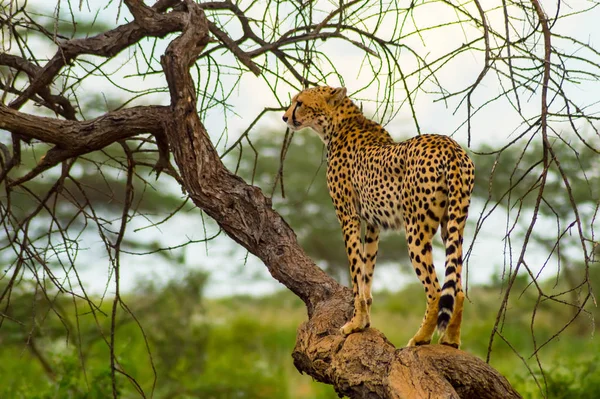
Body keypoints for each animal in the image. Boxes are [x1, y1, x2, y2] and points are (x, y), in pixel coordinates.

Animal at [284, 86, 476, 348]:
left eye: (300, 102)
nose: (285, 117)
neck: (337, 125)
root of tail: (448, 144)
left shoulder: (348, 217)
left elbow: (356, 272)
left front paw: (354, 323)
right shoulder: (373, 223)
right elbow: (367, 272)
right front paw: (363, 322)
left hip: (415, 229)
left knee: (436, 290)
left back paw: (421, 338)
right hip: (453, 225)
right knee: (457, 287)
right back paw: (450, 340)